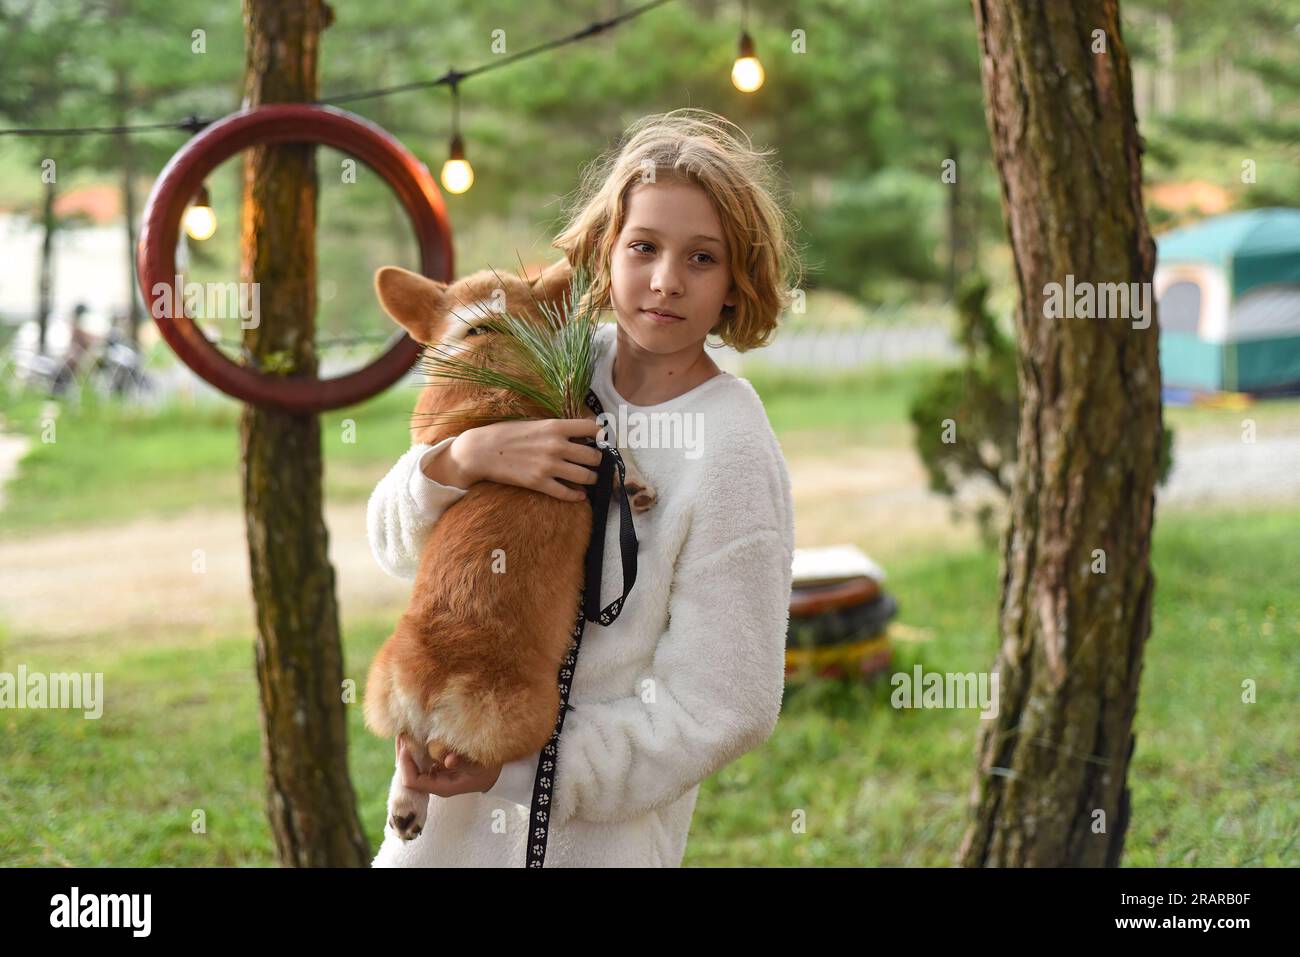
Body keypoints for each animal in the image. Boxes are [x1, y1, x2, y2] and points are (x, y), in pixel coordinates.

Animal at [364, 256, 650, 837]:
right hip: (535, 716)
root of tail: (436, 673)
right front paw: (635, 486)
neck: (487, 332)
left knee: (408, 751)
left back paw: (406, 809)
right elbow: (615, 459)